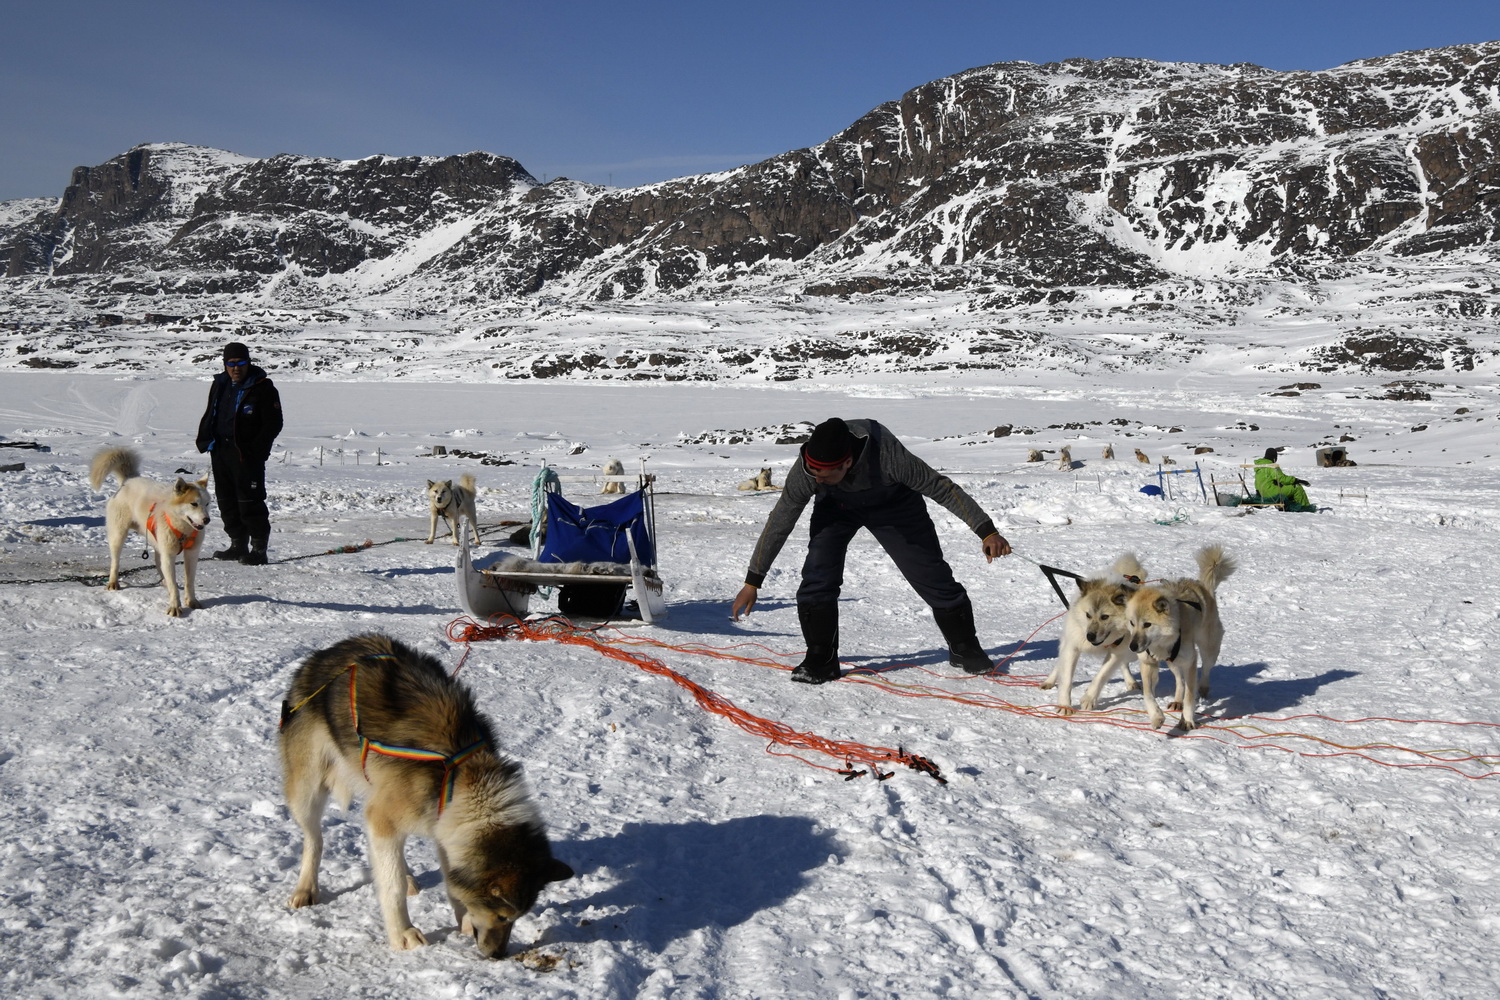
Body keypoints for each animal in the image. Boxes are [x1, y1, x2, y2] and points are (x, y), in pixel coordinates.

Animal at [279, 638, 570, 959]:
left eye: (516, 919)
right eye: (503, 917)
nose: (497, 955)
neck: (461, 772)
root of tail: (322, 655)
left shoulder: (442, 821)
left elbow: (445, 878)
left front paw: (462, 919)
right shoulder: (384, 819)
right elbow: (391, 885)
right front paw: (403, 933)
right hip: (308, 790)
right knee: (314, 840)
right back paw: (306, 888)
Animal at [1044, 551, 1146, 716]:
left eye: (1105, 617)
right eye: (1088, 615)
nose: (1090, 636)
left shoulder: (1117, 651)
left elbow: (1101, 676)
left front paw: (1089, 699)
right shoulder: (1072, 647)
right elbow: (1066, 679)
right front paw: (1065, 705)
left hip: (1132, 652)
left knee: (1124, 663)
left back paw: (1131, 681)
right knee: (1060, 661)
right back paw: (1050, 680)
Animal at [1128, 542, 1242, 731]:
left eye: (1147, 624)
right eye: (1131, 623)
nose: (1132, 646)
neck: (1162, 643)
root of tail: (1203, 586)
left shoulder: (1190, 662)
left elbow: (1190, 695)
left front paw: (1187, 720)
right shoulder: (1148, 663)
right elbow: (1148, 694)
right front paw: (1156, 716)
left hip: (1208, 649)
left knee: (1205, 670)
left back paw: (1203, 688)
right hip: (1172, 661)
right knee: (1179, 680)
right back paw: (1177, 701)